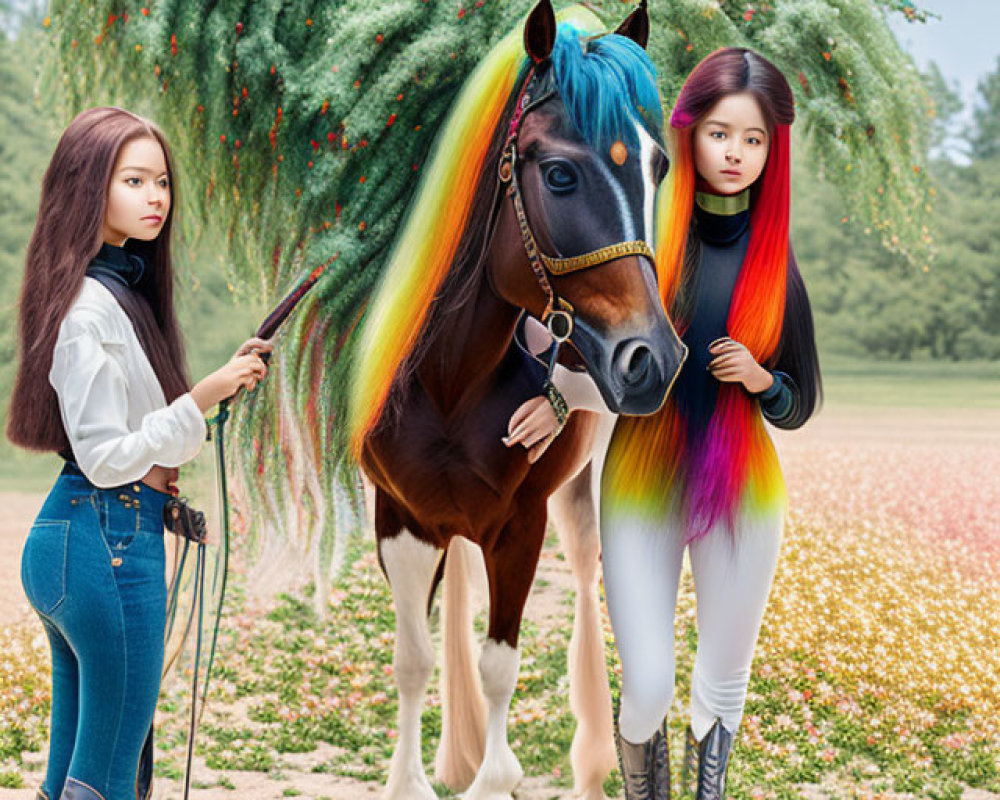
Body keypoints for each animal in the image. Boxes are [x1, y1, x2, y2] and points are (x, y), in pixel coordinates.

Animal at [356, 3, 684, 796]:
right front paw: (415, 777)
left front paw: (495, 775)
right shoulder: (401, 520)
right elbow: (413, 658)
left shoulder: (520, 528)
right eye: (560, 174)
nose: (653, 361)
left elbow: (499, 663)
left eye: (658, 166)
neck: (449, 382)